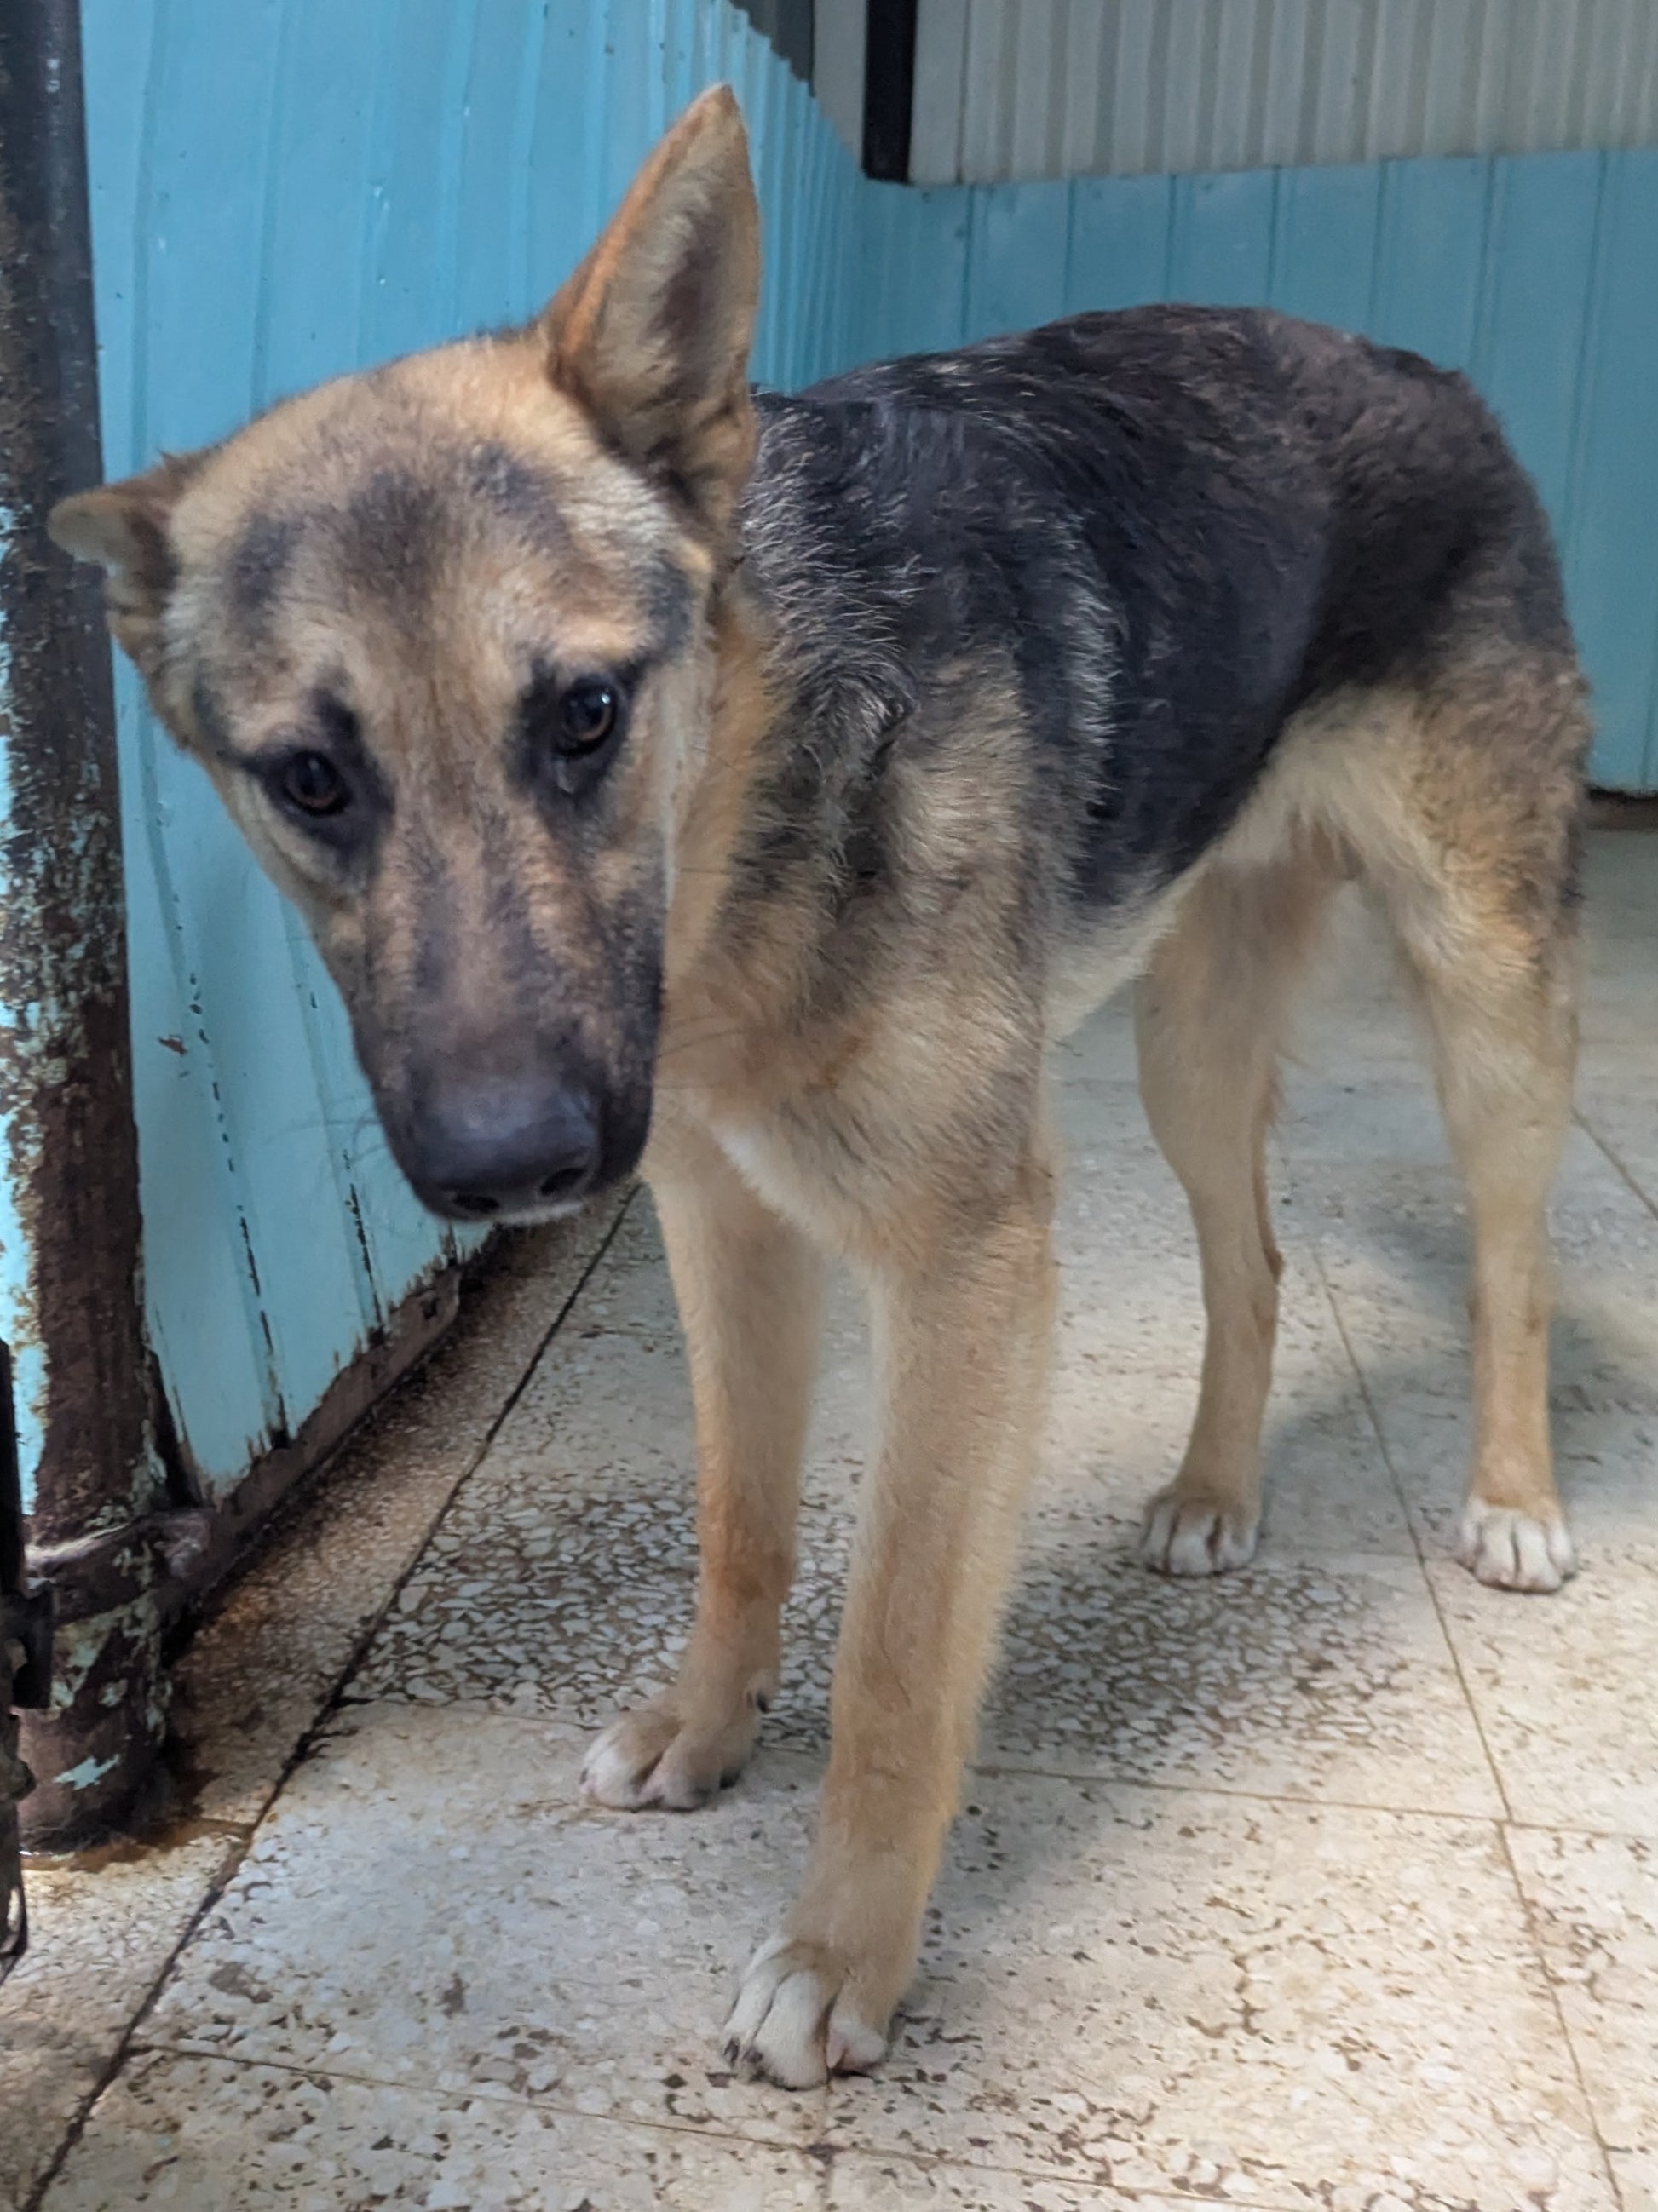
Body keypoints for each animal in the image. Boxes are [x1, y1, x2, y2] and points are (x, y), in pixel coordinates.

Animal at [52, 86, 1588, 2090]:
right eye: (312, 777)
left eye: (585, 715)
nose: (510, 1167)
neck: (748, 823)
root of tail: (1430, 370)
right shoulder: (723, 1225)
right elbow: (742, 1522)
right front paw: (710, 1731)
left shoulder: (966, 1273)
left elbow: (898, 1650)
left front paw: (848, 1950)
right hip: (1183, 1054)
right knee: (1248, 1257)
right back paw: (1212, 1487)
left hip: (1482, 1001)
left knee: (1511, 1259)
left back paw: (1513, 1492)